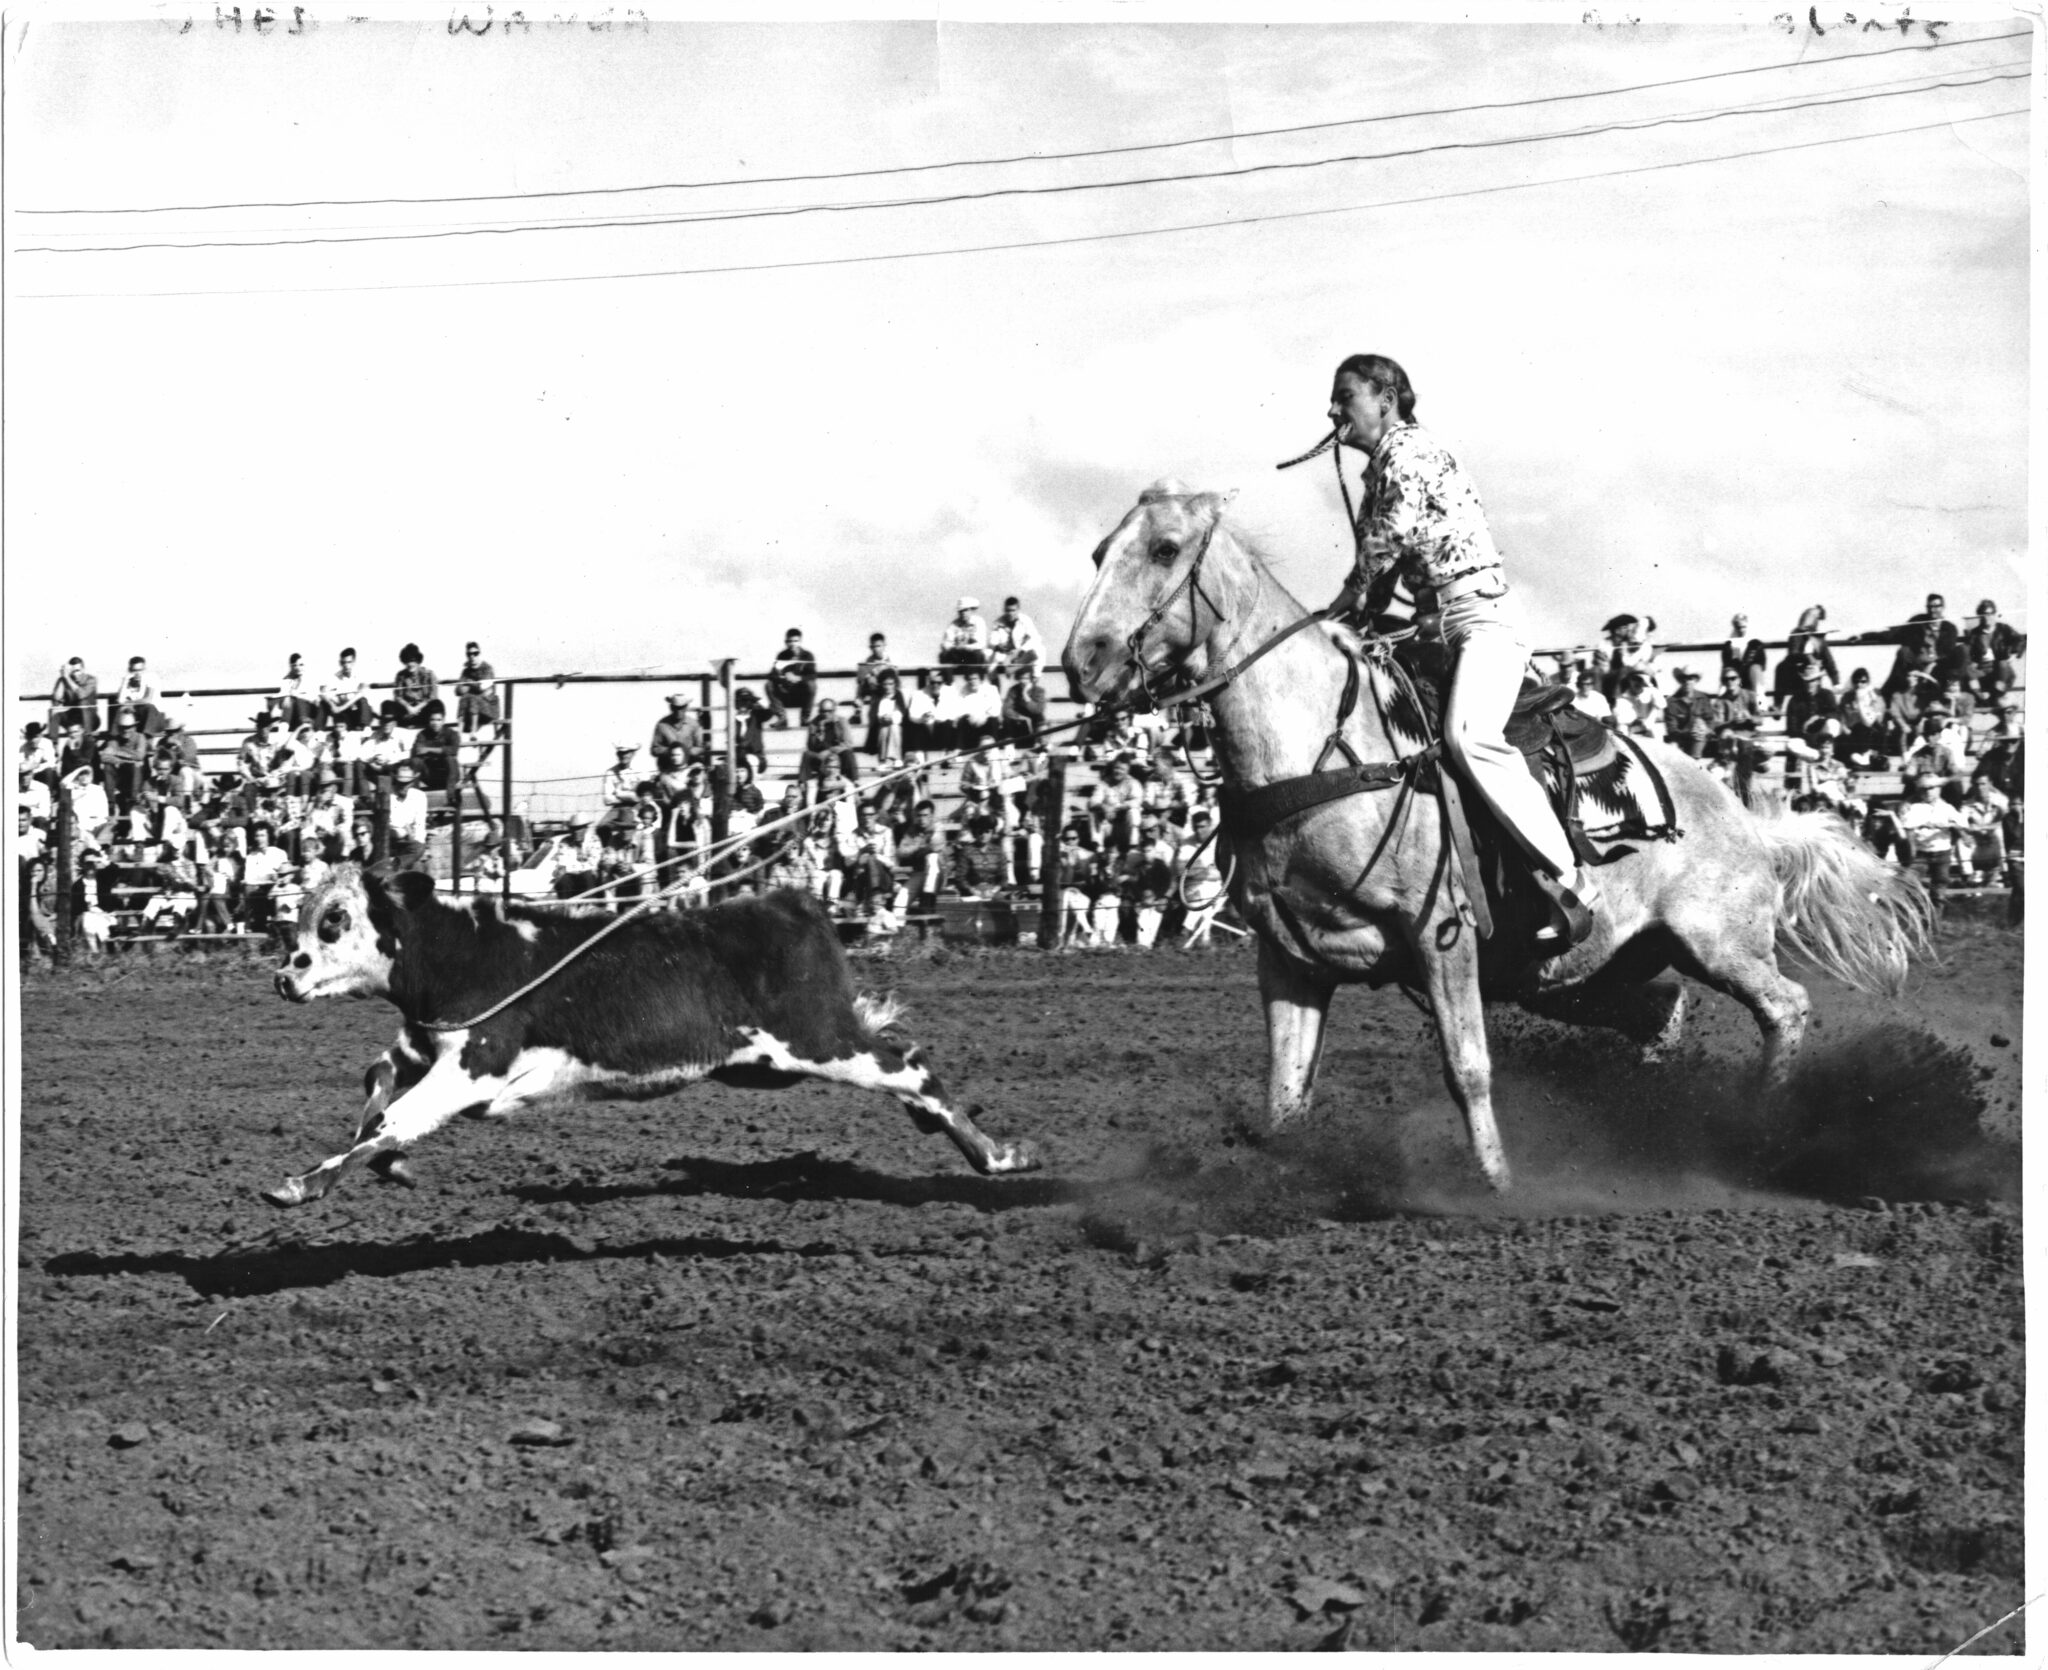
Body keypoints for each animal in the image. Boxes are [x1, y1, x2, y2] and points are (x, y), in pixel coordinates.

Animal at [264, 865, 1041, 1207]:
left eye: (334, 920)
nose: (283, 978)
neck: (466, 951)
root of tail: (788, 904)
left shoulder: (475, 1063)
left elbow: (392, 1118)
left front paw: (302, 1184)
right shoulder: (424, 1046)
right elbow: (377, 1083)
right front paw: (390, 1166)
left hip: (817, 1039)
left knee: (910, 1069)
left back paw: (1001, 1156)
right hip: (773, 1060)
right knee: (906, 1061)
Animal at [1062, 481, 1935, 1192]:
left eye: (1165, 549)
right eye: (1100, 551)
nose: (1082, 660)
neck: (1324, 753)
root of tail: (1743, 814)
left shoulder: (1442, 936)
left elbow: (1469, 1067)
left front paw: (1495, 1183)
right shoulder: (1290, 959)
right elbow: (1284, 1094)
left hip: (1715, 940)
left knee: (1786, 1007)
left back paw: (1758, 1133)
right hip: (1588, 974)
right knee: (1663, 1014)